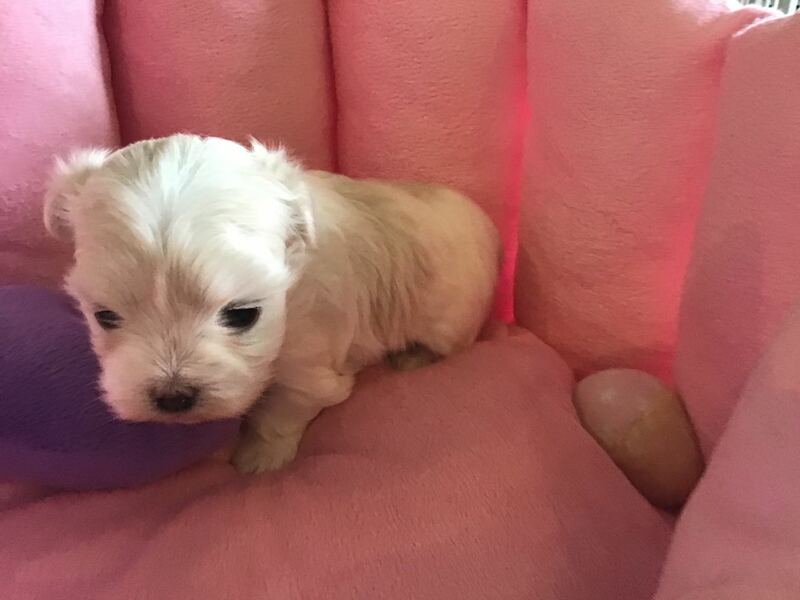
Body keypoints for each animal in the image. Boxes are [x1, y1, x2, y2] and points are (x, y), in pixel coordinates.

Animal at [43, 134, 500, 474]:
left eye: (242, 315)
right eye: (105, 317)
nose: (173, 398)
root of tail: (488, 225)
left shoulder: (308, 368)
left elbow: (281, 411)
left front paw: (261, 458)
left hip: (451, 319)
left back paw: (412, 357)